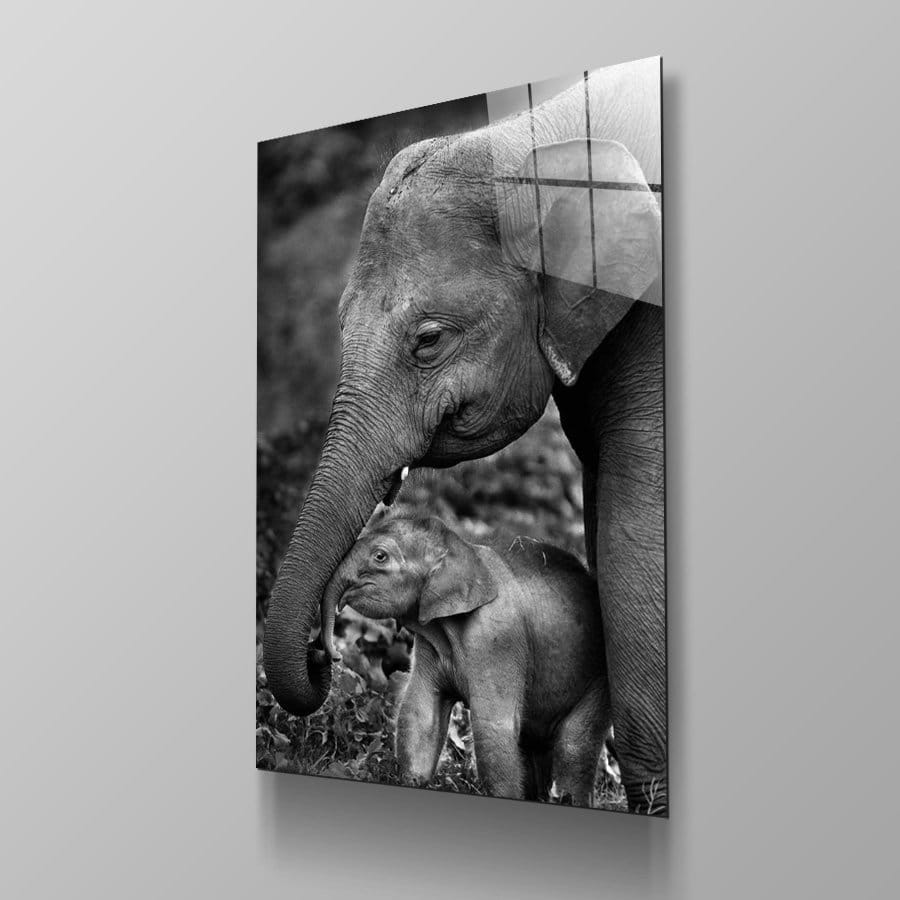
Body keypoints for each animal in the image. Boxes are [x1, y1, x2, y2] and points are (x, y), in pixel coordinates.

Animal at [320, 511, 611, 805]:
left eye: (380, 556)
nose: (336, 655)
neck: (464, 550)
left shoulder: (496, 639)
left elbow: (492, 727)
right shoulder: (429, 643)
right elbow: (420, 712)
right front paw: (413, 783)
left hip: (598, 679)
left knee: (574, 744)